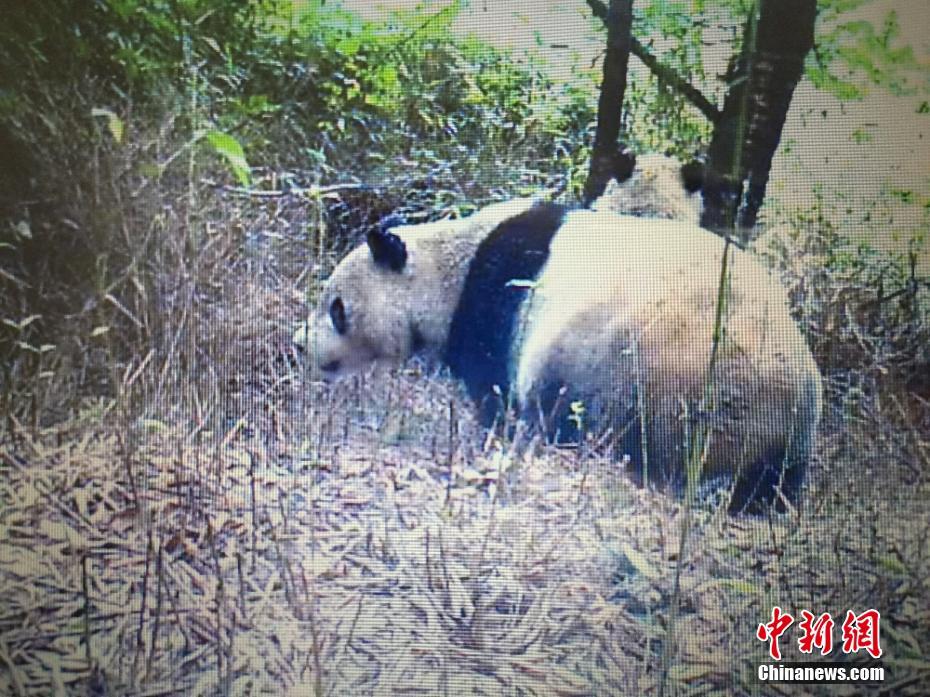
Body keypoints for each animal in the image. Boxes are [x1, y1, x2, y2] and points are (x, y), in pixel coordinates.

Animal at [292, 188, 820, 512]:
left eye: (337, 308)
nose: (299, 344)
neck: (450, 263)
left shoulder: (497, 303)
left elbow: (495, 392)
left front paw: (490, 440)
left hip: (648, 373)